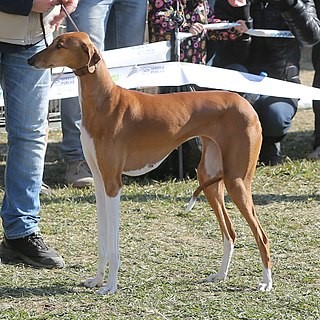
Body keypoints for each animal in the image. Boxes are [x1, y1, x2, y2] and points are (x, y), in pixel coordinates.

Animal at [28, 32, 272, 296]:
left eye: (60, 45)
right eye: (53, 42)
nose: (30, 60)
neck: (105, 100)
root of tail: (246, 103)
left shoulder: (113, 184)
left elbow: (113, 245)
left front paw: (110, 286)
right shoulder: (100, 183)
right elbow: (103, 241)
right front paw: (97, 280)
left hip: (236, 181)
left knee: (261, 235)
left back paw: (266, 282)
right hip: (210, 180)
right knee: (230, 232)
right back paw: (220, 275)